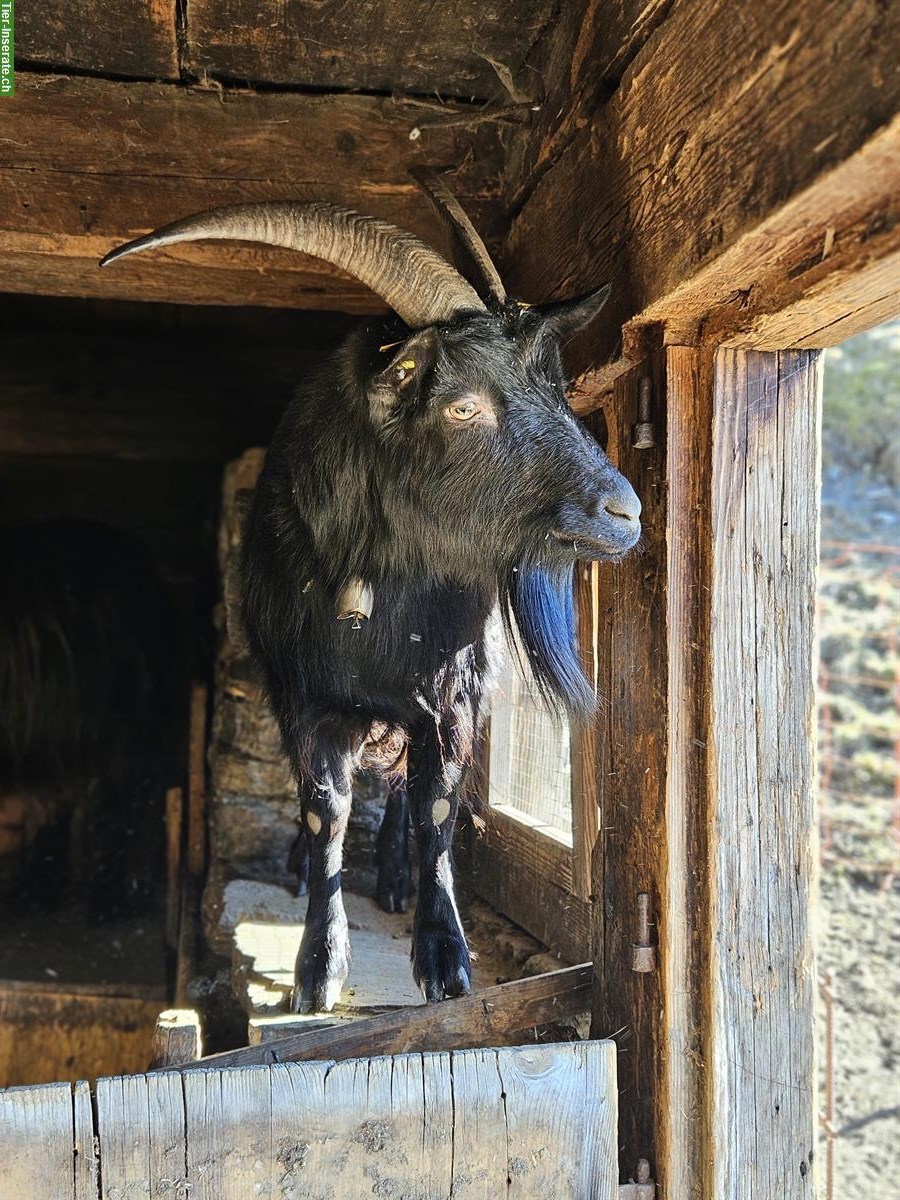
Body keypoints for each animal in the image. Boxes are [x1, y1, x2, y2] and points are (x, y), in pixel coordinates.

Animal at [103, 184, 643, 1012]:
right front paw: (318, 969)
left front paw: (445, 957)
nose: (624, 511)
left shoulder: (454, 696)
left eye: (556, 390)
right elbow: (326, 809)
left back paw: (391, 878)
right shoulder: (305, 698)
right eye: (463, 406)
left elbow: (434, 811)